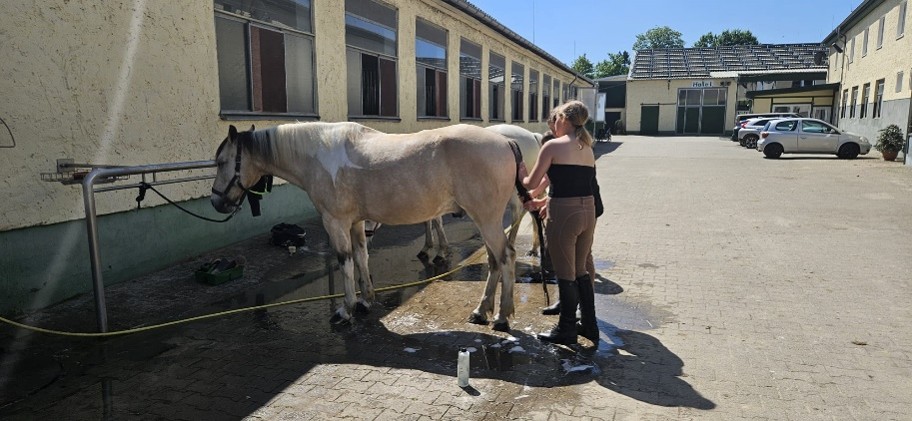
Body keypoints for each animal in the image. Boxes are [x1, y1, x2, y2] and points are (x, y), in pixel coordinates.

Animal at [210, 122, 526, 331]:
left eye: (223, 161)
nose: (217, 202)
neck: (319, 156)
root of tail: (505, 142)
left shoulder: (335, 222)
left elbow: (346, 261)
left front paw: (346, 309)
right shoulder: (357, 222)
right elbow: (362, 257)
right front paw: (365, 301)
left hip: (486, 219)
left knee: (505, 257)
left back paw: (500, 317)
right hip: (486, 220)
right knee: (494, 260)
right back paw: (481, 311)